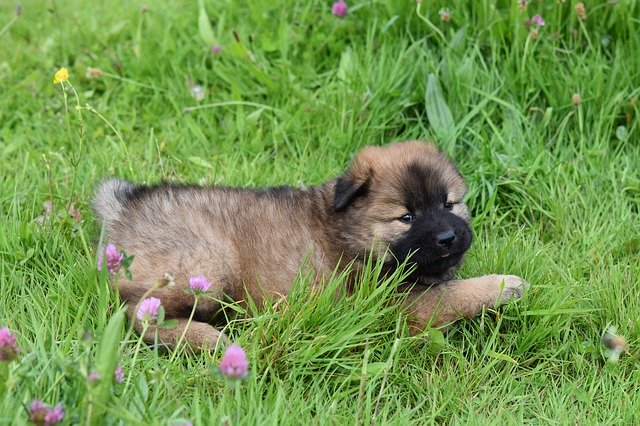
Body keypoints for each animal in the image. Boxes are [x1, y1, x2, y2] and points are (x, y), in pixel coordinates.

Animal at [92, 141, 528, 348]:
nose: (448, 236)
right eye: (406, 217)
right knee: (138, 313)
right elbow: (452, 295)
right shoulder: (397, 302)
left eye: (449, 204)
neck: (350, 230)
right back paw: (206, 339)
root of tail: (124, 206)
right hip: (209, 264)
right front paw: (504, 285)